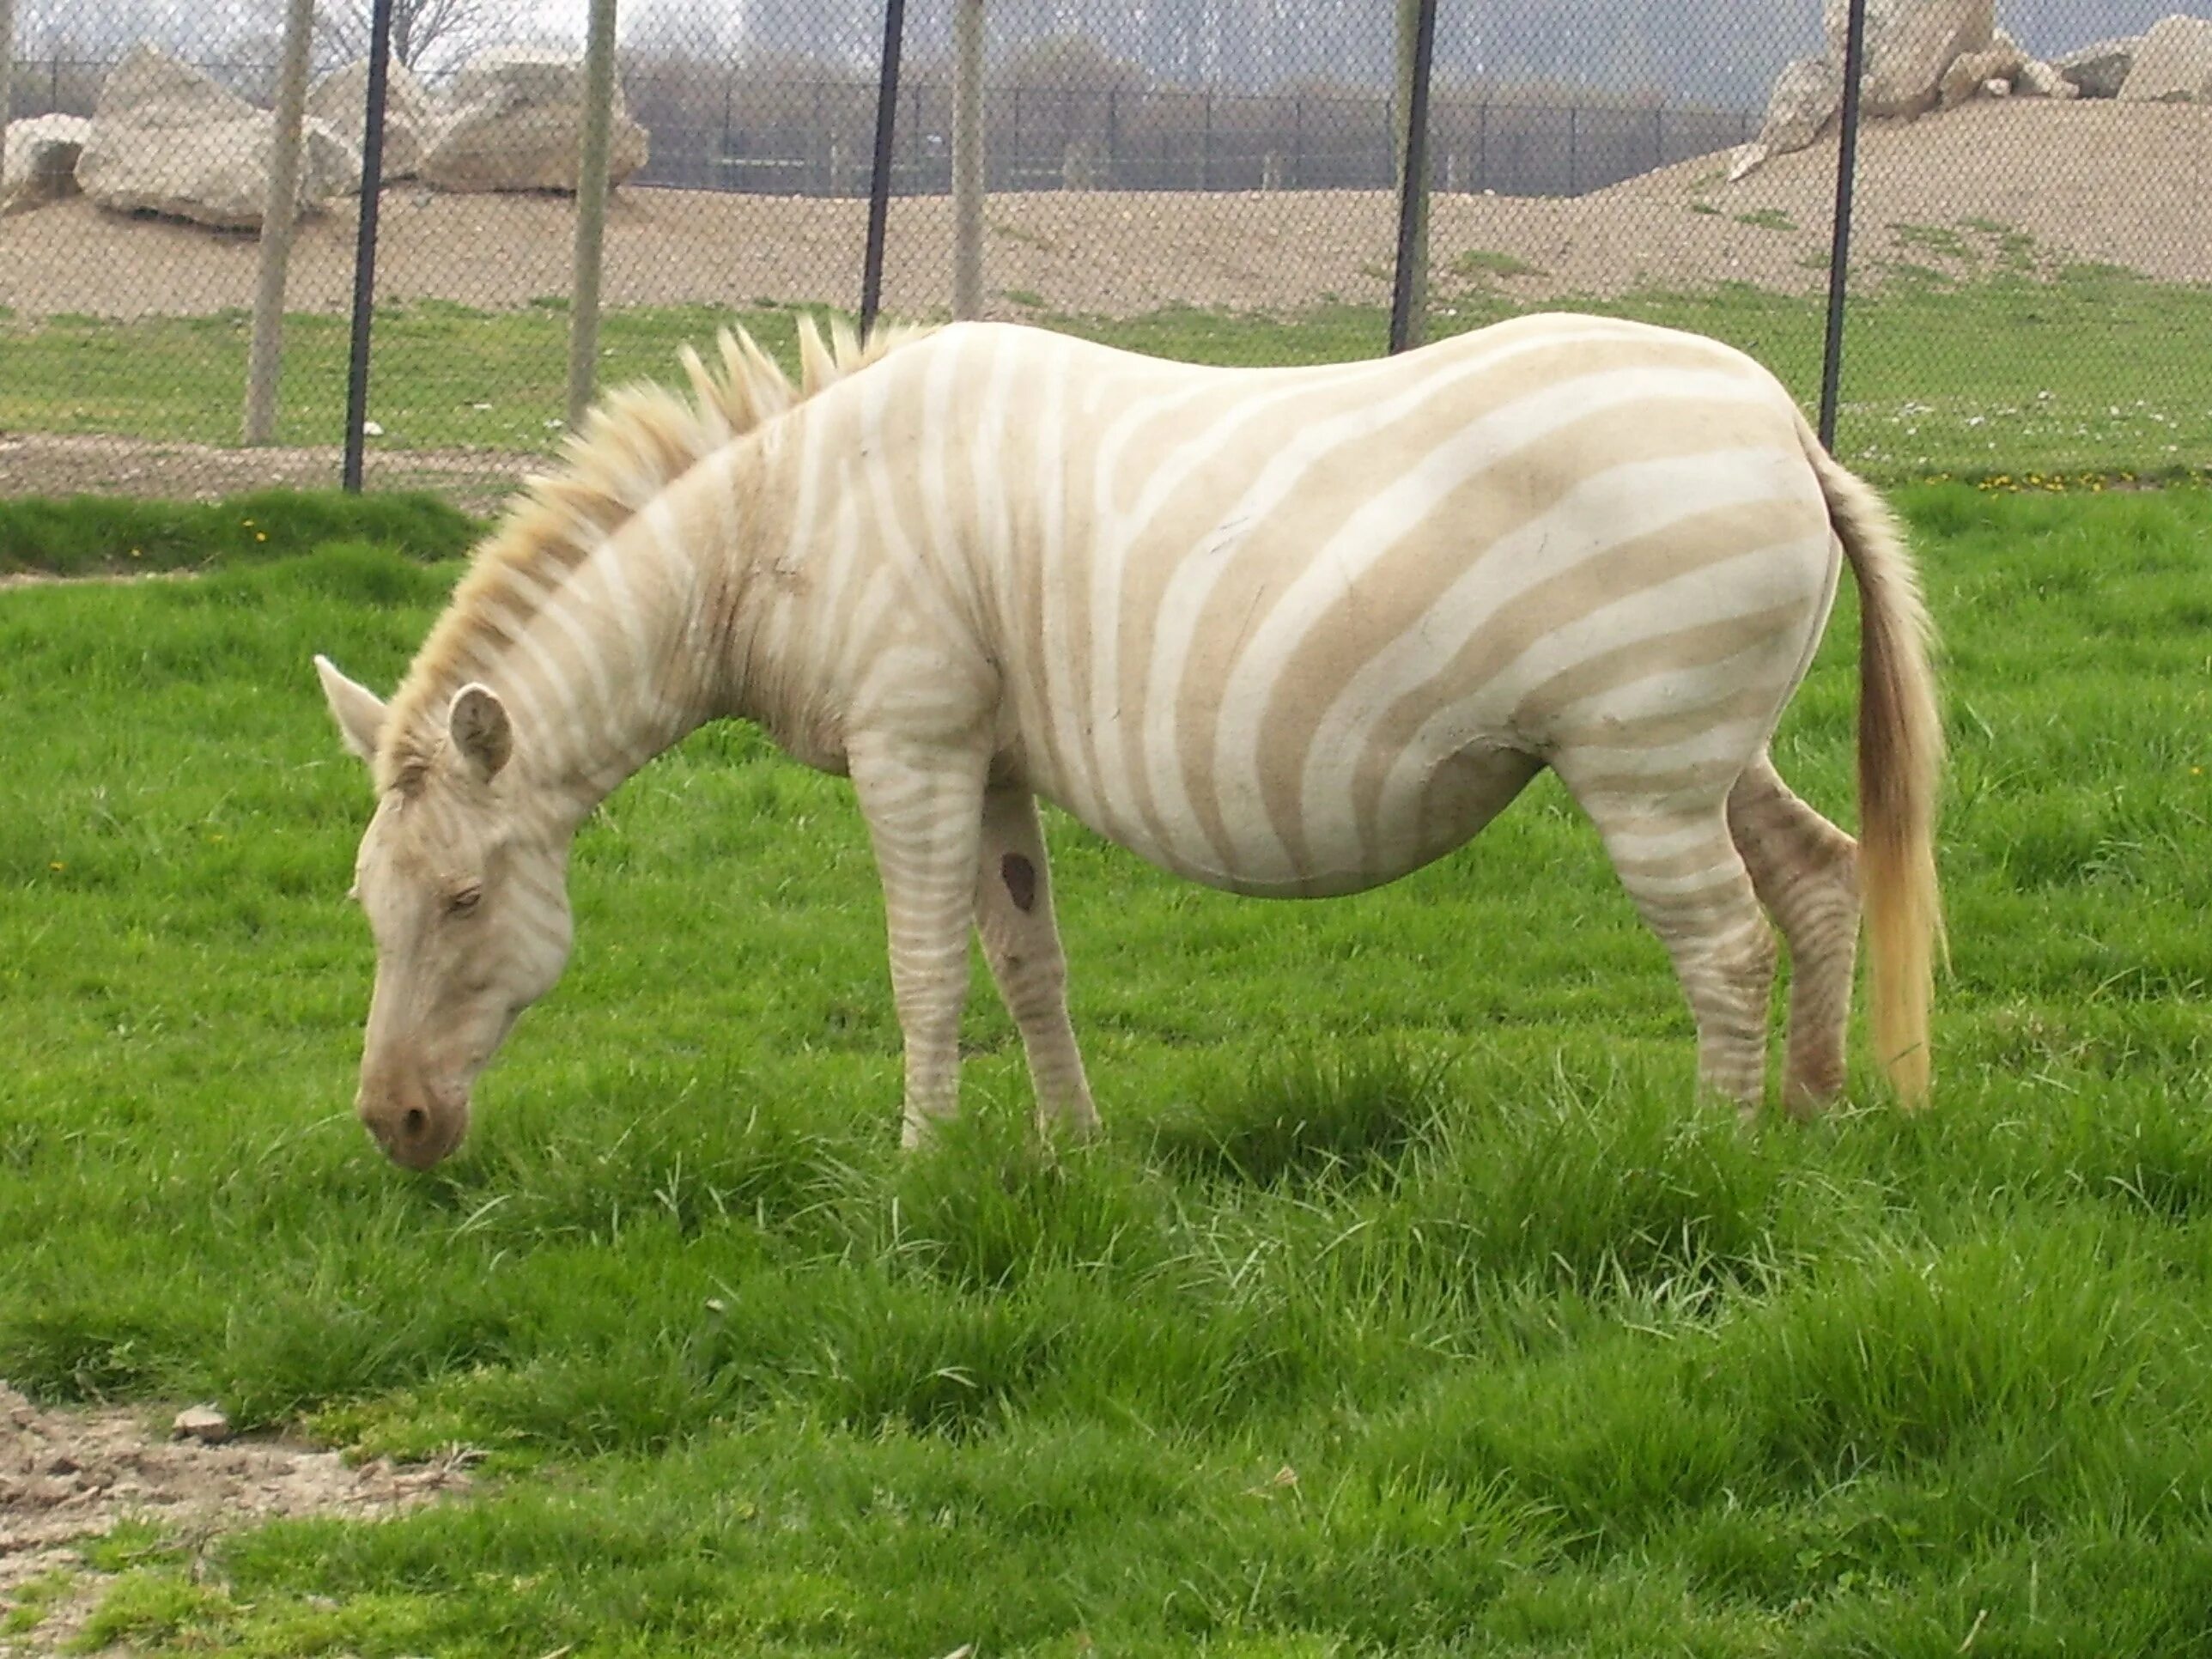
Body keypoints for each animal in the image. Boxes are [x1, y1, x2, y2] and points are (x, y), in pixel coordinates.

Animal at [312, 312, 1937, 1168]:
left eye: (464, 900)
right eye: (366, 907)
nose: (392, 1125)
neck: (775, 529)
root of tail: (1784, 420)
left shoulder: (911, 742)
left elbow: (921, 970)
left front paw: (918, 1169)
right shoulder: (987, 761)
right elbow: (1028, 963)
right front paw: (1070, 1156)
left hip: (1640, 764)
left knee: (1724, 943)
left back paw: (1711, 1159)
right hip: (1701, 752)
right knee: (1817, 878)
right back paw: (1811, 1121)